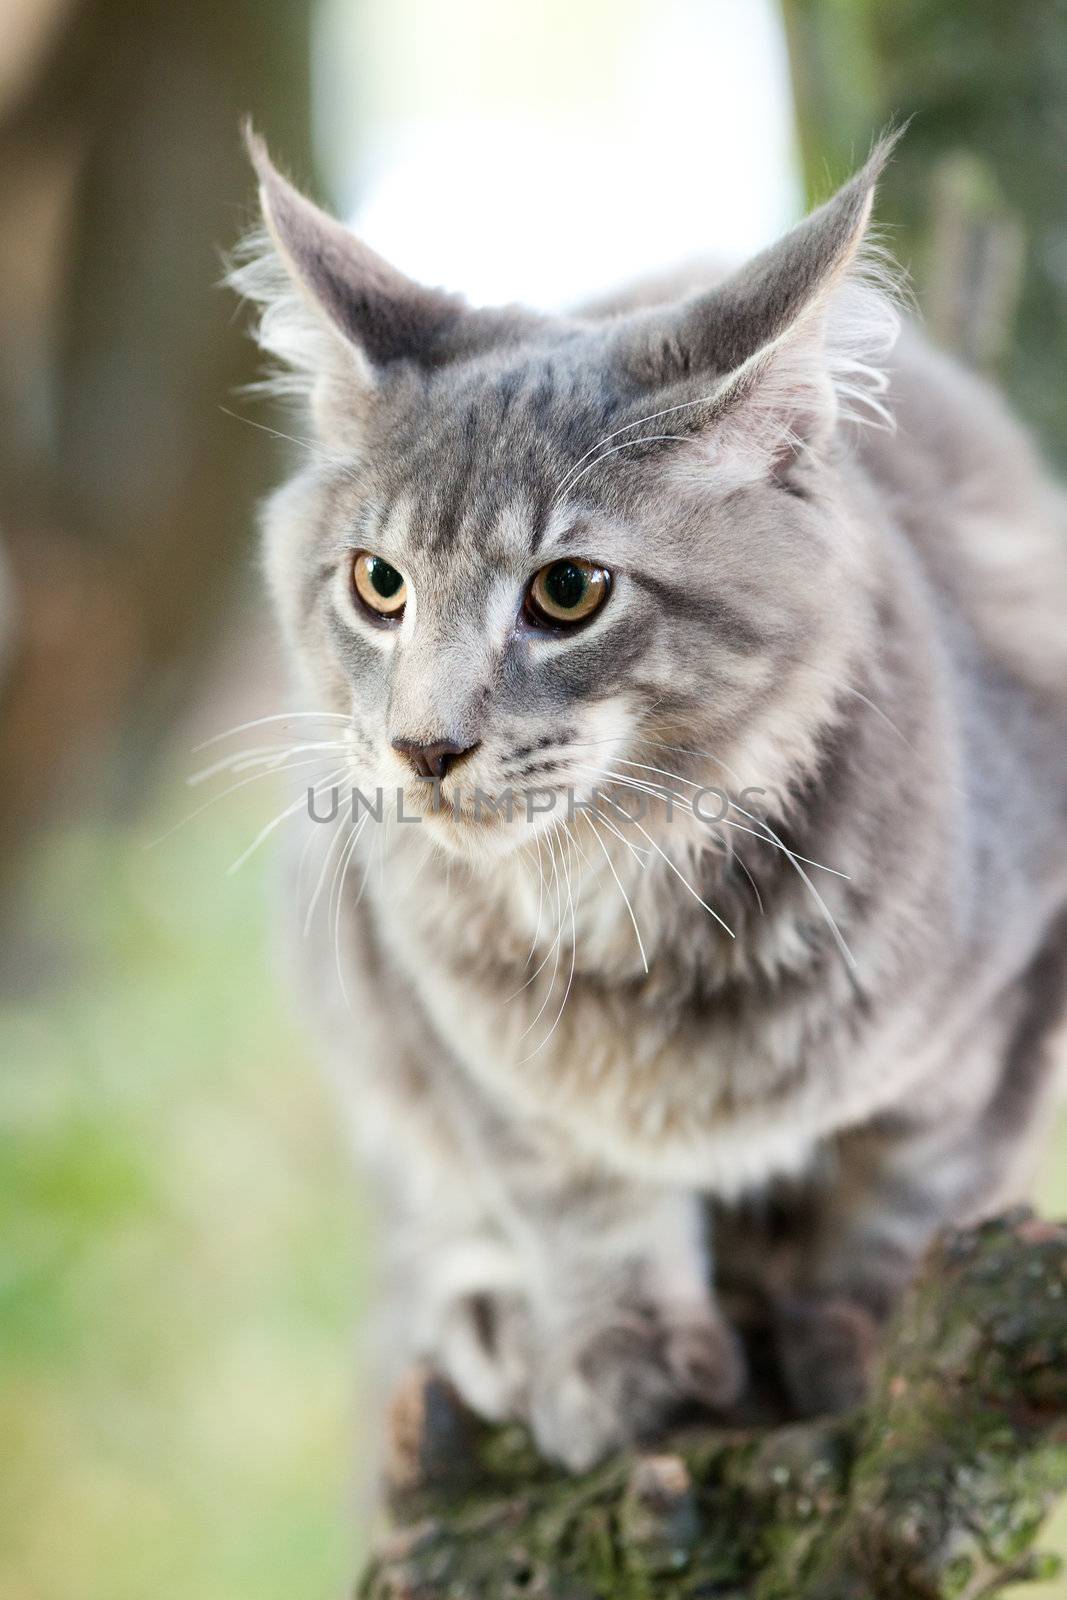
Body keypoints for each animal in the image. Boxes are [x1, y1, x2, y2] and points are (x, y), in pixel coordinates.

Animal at [231, 131, 1067, 1465]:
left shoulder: (1009, 989)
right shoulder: (452, 1036)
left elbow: (910, 1189)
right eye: (377, 584)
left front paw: (861, 1342)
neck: (619, 895)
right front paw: (623, 1359)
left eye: (568, 591)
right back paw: (493, 1322)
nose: (423, 746)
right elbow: (572, 1195)